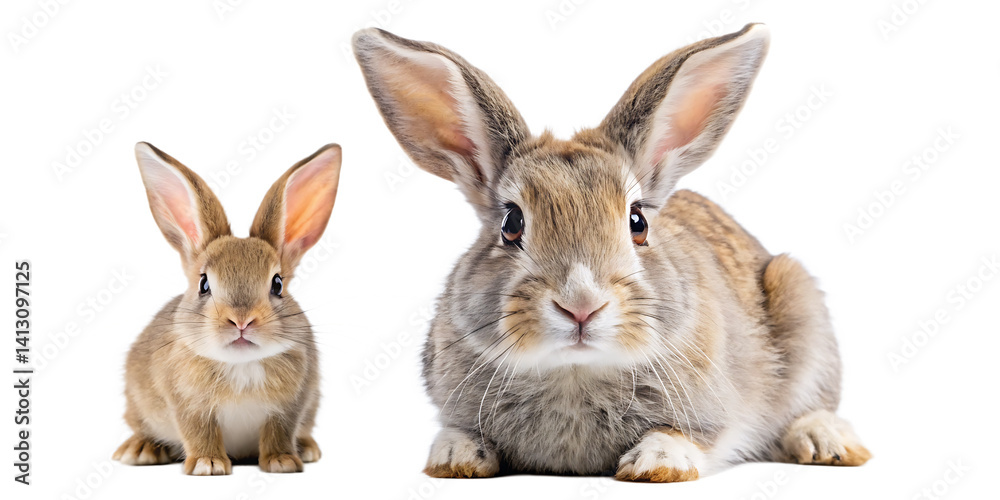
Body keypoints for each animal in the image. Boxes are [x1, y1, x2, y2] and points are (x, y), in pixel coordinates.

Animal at [112, 142, 341, 475]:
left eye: (277, 284)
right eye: (204, 283)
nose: (242, 321)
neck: (241, 365)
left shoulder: (290, 406)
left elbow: (279, 432)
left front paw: (282, 462)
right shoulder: (188, 405)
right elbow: (199, 432)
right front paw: (207, 465)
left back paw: (308, 448)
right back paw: (139, 450)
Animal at [352, 23, 870, 481]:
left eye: (637, 222)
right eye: (510, 224)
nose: (581, 305)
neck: (574, 371)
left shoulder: (714, 409)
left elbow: (691, 434)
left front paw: (657, 464)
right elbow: (458, 431)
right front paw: (455, 457)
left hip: (801, 303)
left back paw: (827, 443)